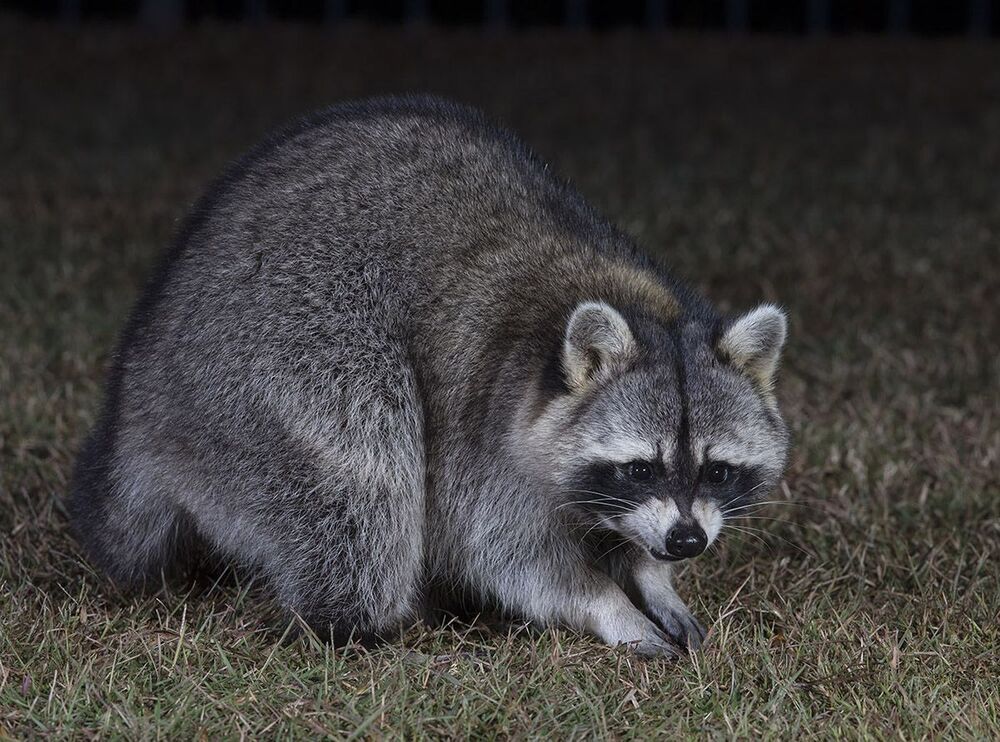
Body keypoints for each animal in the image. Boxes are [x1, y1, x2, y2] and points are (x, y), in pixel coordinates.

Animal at [69, 95, 789, 657]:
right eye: (640, 467)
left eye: (718, 471)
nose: (687, 541)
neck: (632, 301)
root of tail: (140, 391)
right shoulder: (485, 436)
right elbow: (509, 557)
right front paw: (608, 605)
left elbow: (620, 537)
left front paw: (650, 579)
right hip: (265, 361)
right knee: (366, 468)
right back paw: (368, 624)